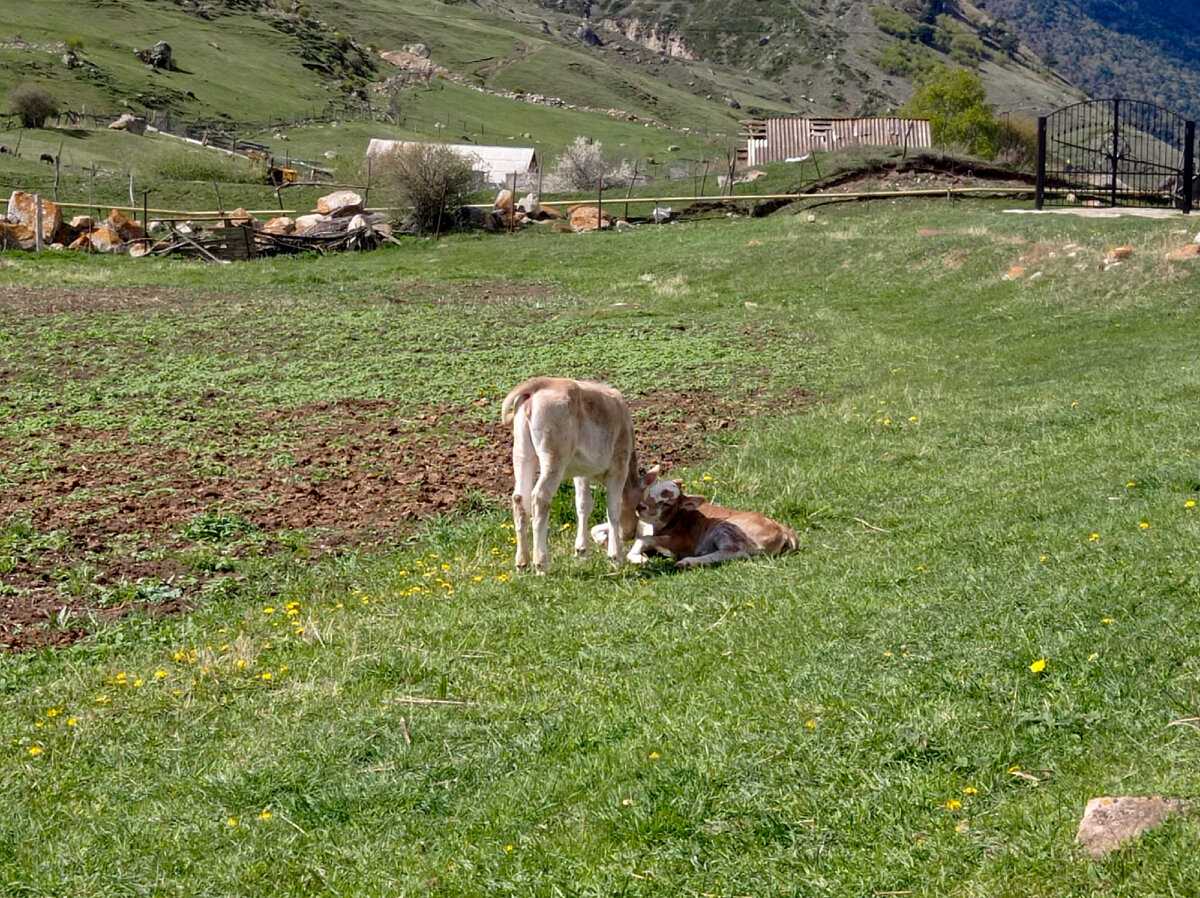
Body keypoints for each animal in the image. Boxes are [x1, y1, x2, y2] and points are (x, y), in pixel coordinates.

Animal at [499, 376, 643, 576]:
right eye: (639, 506)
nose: (629, 534)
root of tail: (542, 382)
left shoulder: (581, 472)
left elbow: (583, 504)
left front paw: (581, 550)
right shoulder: (619, 465)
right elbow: (613, 508)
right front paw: (616, 556)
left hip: (522, 451)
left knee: (520, 498)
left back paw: (522, 561)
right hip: (554, 455)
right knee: (540, 497)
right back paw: (540, 563)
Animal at [592, 465, 796, 564]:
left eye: (666, 503)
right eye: (651, 491)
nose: (640, 507)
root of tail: (785, 530)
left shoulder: (681, 541)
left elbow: (644, 540)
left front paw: (639, 557)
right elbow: (596, 528)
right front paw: (605, 540)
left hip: (726, 528)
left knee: (735, 553)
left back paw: (688, 562)